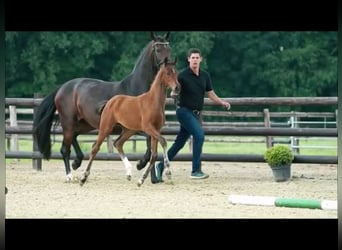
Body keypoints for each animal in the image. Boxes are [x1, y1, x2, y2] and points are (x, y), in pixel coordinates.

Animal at [32, 32, 171, 181]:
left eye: (169, 49)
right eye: (158, 50)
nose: (167, 67)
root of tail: (61, 88)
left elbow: (151, 143)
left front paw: (152, 177)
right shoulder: (136, 127)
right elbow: (149, 142)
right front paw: (140, 164)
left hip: (85, 124)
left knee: (74, 137)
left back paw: (77, 162)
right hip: (69, 122)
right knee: (65, 148)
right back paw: (69, 175)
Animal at [80, 57, 180, 186]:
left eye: (176, 72)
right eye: (168, 73)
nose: (177, 87)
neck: (153, 102)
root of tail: (110, 102)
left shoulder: (156, 129)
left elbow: (154, 155)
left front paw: (141, 180)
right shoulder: (148, 128)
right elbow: (163, 141)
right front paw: (168, 172)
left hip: (129, 130)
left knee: (118, 143)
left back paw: (128, 173)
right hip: (106, 127)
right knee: (95, 148)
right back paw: (83, 178)